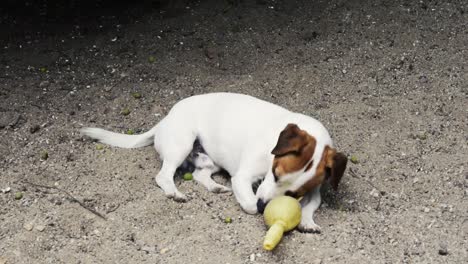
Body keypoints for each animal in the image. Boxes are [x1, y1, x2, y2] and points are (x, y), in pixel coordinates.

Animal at [82, 92, 348, 232]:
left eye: (294, 194)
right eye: (274, 173)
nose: (264, 205)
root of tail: (165, 120)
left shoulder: (313, 190)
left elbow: (312, 204)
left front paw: (307, 220)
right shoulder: (242, 178)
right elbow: (250, 204)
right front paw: (257, 207)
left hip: (210, 161)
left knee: (200, 174)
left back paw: (216, 187)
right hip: (182, 144)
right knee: (163, 175)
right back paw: (174, 192)